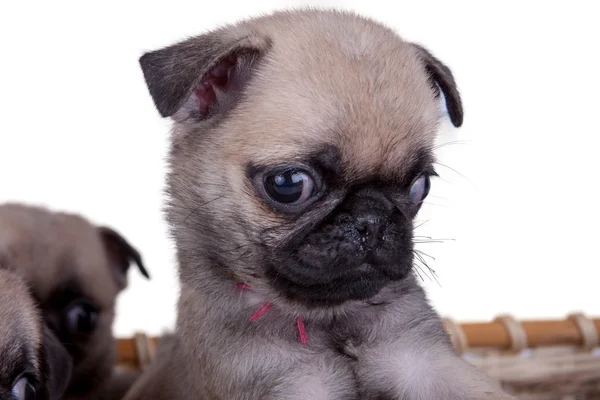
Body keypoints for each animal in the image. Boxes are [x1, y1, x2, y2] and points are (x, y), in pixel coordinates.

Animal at [126, 9, 516, 400]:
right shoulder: (289, 386)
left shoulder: (424, 362)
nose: (373, 219)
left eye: (420, 185)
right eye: (289, 184)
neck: (329, 318)